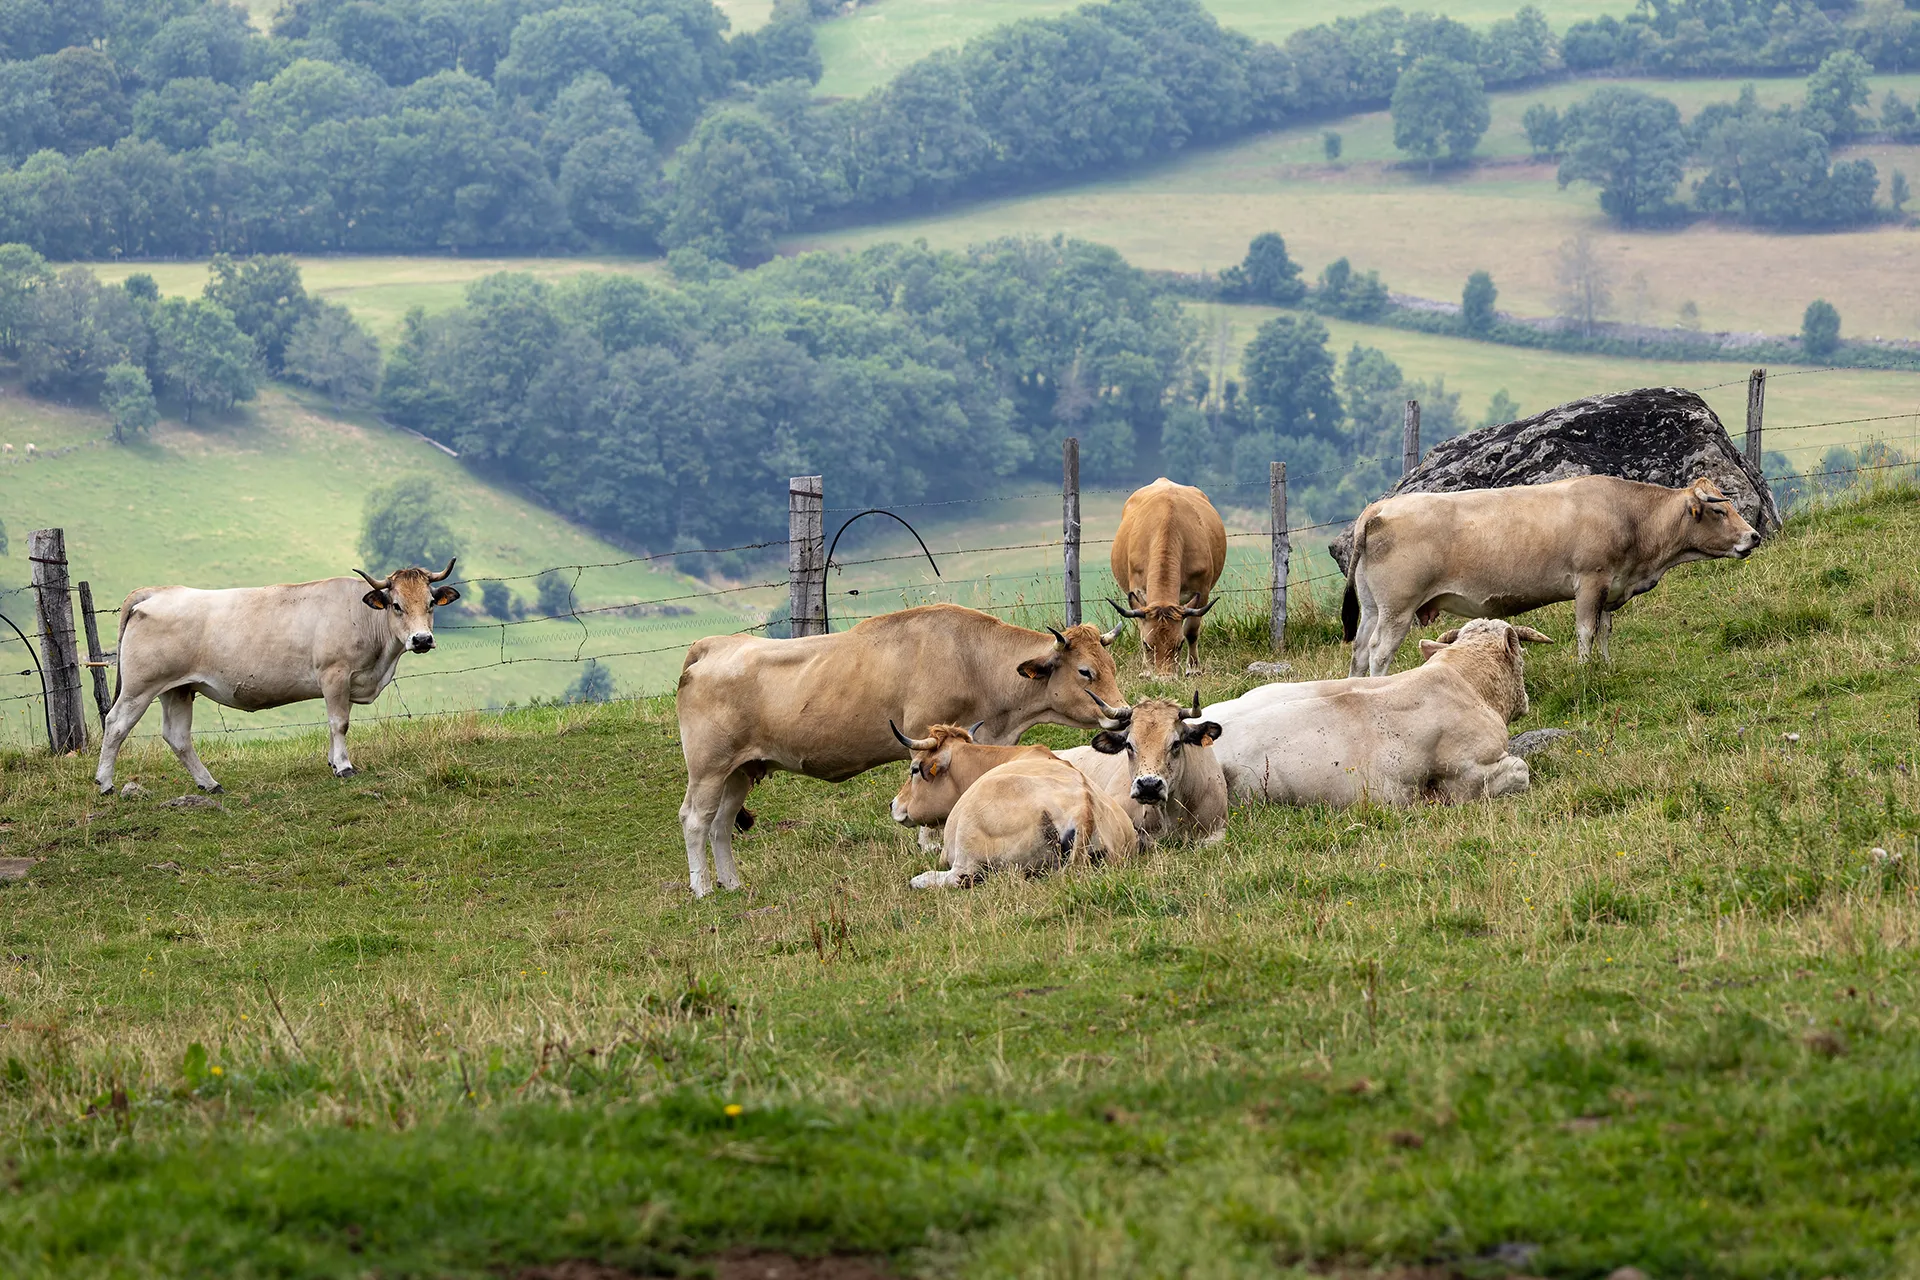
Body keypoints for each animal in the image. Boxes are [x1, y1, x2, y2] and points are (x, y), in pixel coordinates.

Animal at [94, 561, 459, 795]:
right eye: (396, 605)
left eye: (430, 603)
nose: (421, 640)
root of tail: (157, 592)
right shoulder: (334, 674)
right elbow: (339, 722)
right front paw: (343, 766)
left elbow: (337, 723)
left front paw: (332, 762)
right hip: (140, 686)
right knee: (116, 724)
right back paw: (105, 783)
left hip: (179, 688)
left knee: (177, 736)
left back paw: (210, 784)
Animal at [1107, 478, 1228, 677]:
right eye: (1147, 645)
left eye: (1179, 644)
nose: (1165, 679)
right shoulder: (1138, 592)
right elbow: (1142, 629)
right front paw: (1146, 671)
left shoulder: (1202, 590)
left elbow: (1192, 630)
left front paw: (1193, 668)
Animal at [1343, 475, 1760, 676]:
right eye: (1720, 511)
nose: (1753, 536)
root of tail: (1378, 509)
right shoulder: (1590, 581)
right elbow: (1586, 630)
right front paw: (1585, 671)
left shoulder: (1609, 587)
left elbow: (1605, 630)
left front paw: (1606, 666)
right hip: (1397, 609)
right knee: (1379, 652)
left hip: (1374, 609)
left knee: (1360, 652)